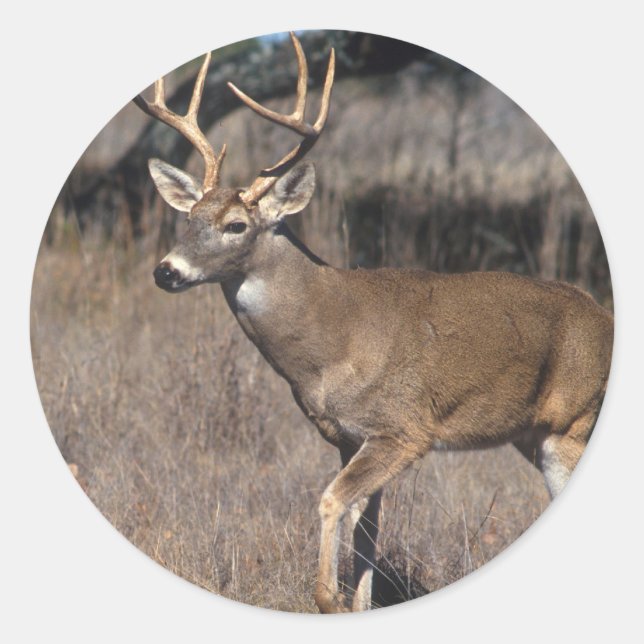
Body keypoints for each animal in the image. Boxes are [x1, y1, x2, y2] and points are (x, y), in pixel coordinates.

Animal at [134, 33, 613, 613]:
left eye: (236, 225)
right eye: (189, 218)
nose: (166, 270)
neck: (330, 345)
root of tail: (608, 319)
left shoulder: (404, 428)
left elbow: (331, 500)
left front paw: (326, 598)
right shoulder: (348, 435)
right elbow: (366, 527)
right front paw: (354, 602)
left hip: (573, 422)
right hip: (533, 433)